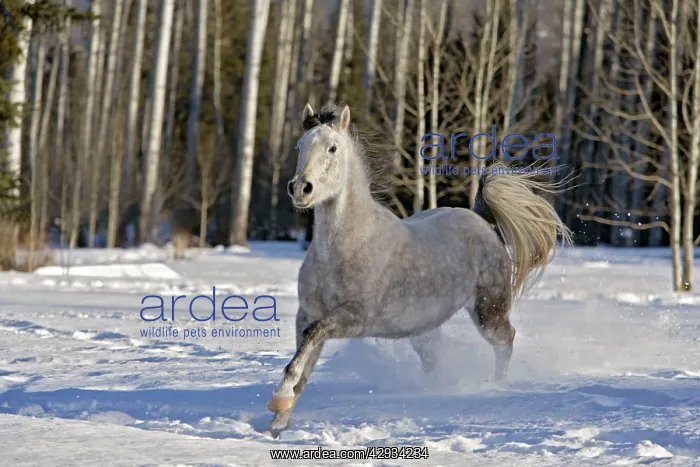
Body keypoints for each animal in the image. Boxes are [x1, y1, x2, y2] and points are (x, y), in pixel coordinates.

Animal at [264, 103, 571, 437]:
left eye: (332, 148)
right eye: (299, 146)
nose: (300, 188)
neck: (346, 247)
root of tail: (480, 220)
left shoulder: (354, 318)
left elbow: (309, 342)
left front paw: (278, 401)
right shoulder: (307, 313)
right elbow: (303, 363)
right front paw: (277, 423)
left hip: (488, 311)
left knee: (506, 341)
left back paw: (494, 386)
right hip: (424, 331)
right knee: (439, 361)